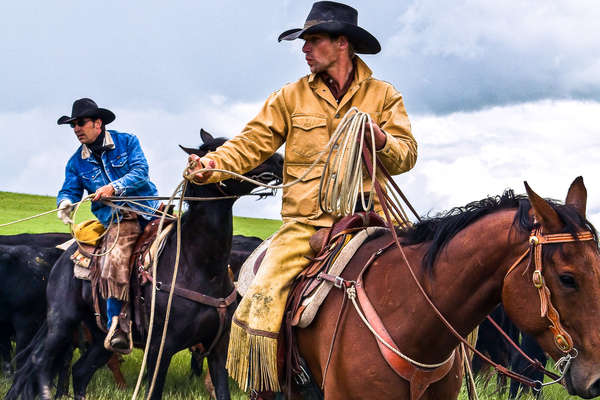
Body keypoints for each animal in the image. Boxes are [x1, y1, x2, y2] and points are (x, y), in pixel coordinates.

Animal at [6, 130, 284, 398]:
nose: (278, 160)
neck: (200, 267)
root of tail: (66, 254)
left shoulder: (218, 349)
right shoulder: (159, 350)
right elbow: (154, 391)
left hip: (99, 338)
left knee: (80, 371)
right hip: (61, 321)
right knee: (40, 362)